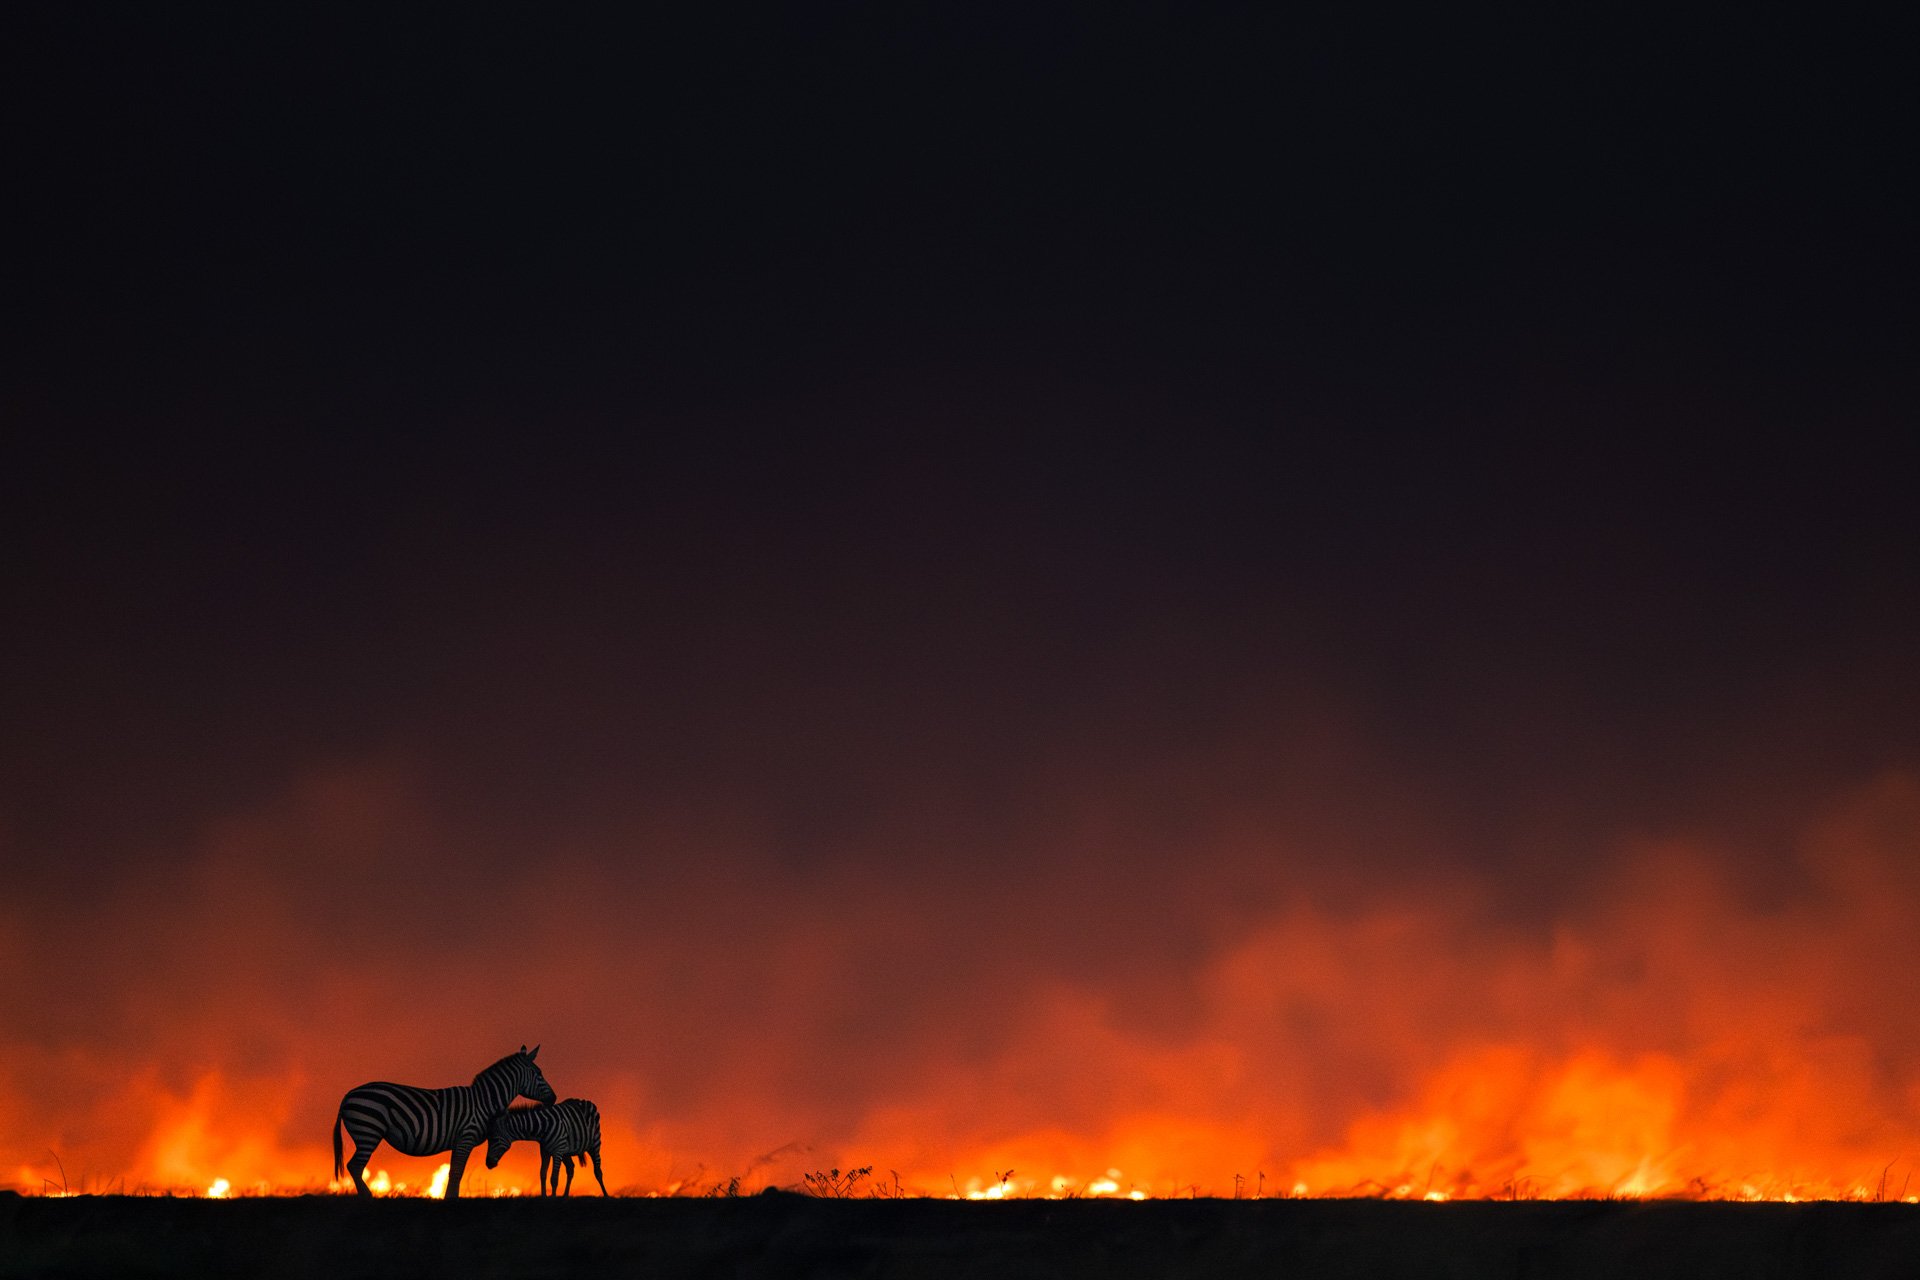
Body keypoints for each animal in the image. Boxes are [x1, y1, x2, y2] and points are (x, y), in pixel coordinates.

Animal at [330, 1043, 552, 1205]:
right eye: (539, 1074)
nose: (554, 1098)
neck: (483, 1102)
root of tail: (348, 1096)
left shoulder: (459, 1141)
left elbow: (454, 1170)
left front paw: (449, 1198)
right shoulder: (466, 1136)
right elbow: (457, 1171)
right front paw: (452, 1200)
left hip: (366, 1133)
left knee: (354, 1166)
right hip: (368, 1131)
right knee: (355, 1166)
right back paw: (368, 1199)